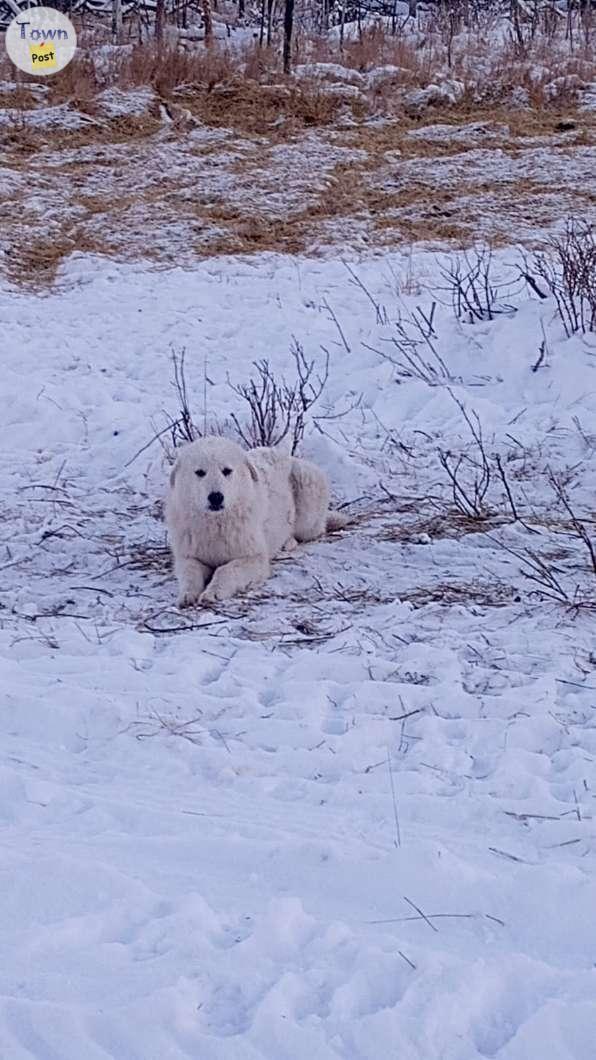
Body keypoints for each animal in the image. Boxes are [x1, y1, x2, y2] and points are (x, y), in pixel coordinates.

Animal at [164, 436, 345, 606]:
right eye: (200, 472)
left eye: (227, 471)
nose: (216, 497)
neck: (216, 522)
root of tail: (285, 455)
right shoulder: (188, 557)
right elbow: (190, 574)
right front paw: (187, 595)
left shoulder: (254, 558)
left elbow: (226, 570)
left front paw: (213, 592)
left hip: (306, 496)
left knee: (312, 531)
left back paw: (288, 543)